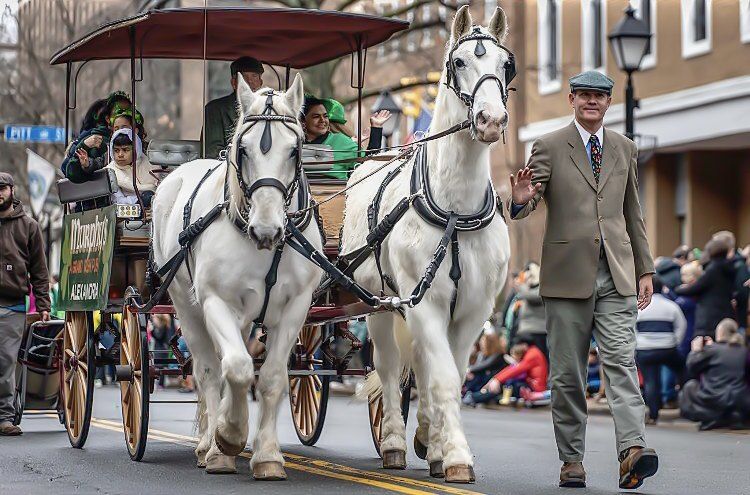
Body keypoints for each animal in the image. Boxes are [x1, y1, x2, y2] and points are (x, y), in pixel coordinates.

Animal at [151, 75, 322, 482]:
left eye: (295, 151)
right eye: (242, 149)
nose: (267, 229)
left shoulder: (296, 306)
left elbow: (271, 376)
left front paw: (267, 456)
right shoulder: (216, 300)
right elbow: (237, 368)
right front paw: (227, 437)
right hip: (184, 302)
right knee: (209, 369)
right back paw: (209, 446)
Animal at [344, 4, 516, 484]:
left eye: (507, 65)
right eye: (458, 62)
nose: (491, 120)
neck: (455, 209)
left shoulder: (474, 310)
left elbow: (447, 375)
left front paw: (438, 444)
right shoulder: (425, 303)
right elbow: (440, 379)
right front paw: (455, 455)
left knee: (416, 365)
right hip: (378, 304)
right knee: (387, 368)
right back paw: (393, 443)